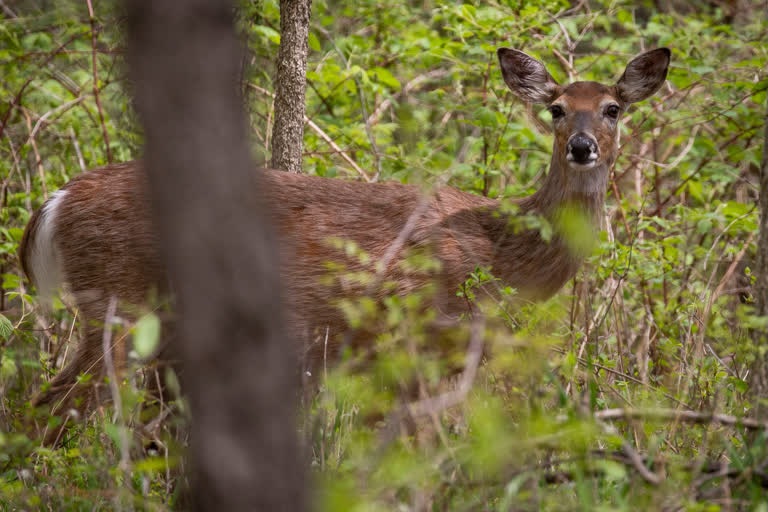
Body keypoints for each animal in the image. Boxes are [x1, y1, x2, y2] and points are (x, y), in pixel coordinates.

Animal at [18, 46, 664, 442]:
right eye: (556, 109)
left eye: (613, 108)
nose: (582, 146)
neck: (503, 252)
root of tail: (57, 199)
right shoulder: (411, 339)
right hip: (118, 306)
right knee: (54, 408)